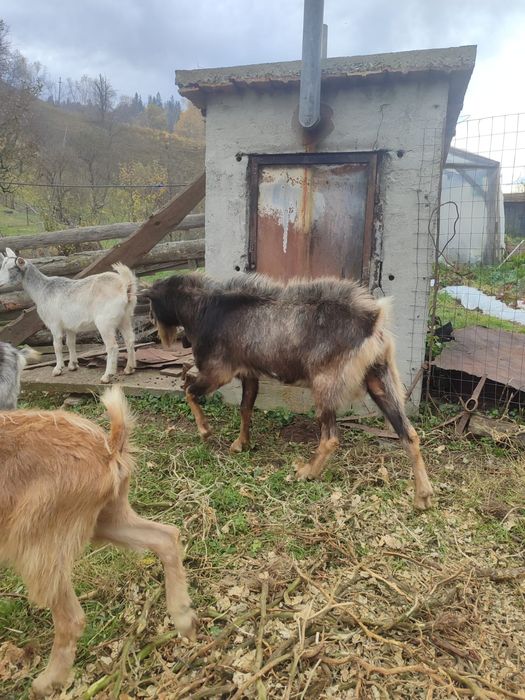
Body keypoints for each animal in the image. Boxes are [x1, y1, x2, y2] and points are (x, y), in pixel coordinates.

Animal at [0, 248, 137, 383]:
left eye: (11, 268)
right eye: (2, 265)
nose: (0, 282)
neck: (42, 289)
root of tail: (124, 285)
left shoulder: (54, 324)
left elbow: (57, 346)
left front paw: (58, 369)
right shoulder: (70, 326)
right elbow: (70, 343)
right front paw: (73, 365)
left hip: (105, 322)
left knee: (112, 346)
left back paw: (107, 376)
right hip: (125, 318)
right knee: (129, 340)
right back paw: (129, 368)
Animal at [0, 386, 197, 697]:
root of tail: (109, 449)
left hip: (38, 544)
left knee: (71, 620)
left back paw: (46, 682)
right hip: (106, 519)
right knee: (166, 536)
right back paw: (185, 618)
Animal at [144, 273, 433, 510]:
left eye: (152, 305)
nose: (157, 331)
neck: (203, 308)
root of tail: (373, 321)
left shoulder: (218, 372)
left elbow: (189, 391)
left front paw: (205, 431)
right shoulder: (249, 372)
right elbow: (245, 407)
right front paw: (241, 443)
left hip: (326, 384)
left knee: (331, 437)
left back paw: (307, 472)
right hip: (380, 378)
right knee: (409, 433)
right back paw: (422, 495)